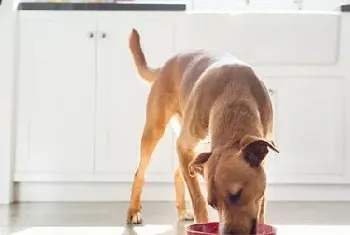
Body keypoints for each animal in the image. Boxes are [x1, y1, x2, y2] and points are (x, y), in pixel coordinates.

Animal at [126, 28, 278, 234]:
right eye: (213, 204)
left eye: (237, 194)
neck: (235, 96)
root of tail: (165, 66)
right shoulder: (184, 147)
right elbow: (197, 198)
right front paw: (202, 223)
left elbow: (261, 204)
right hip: (155, 130)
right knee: (141, 172)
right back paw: (133, 211)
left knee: (178, 173)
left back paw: (182, 210)